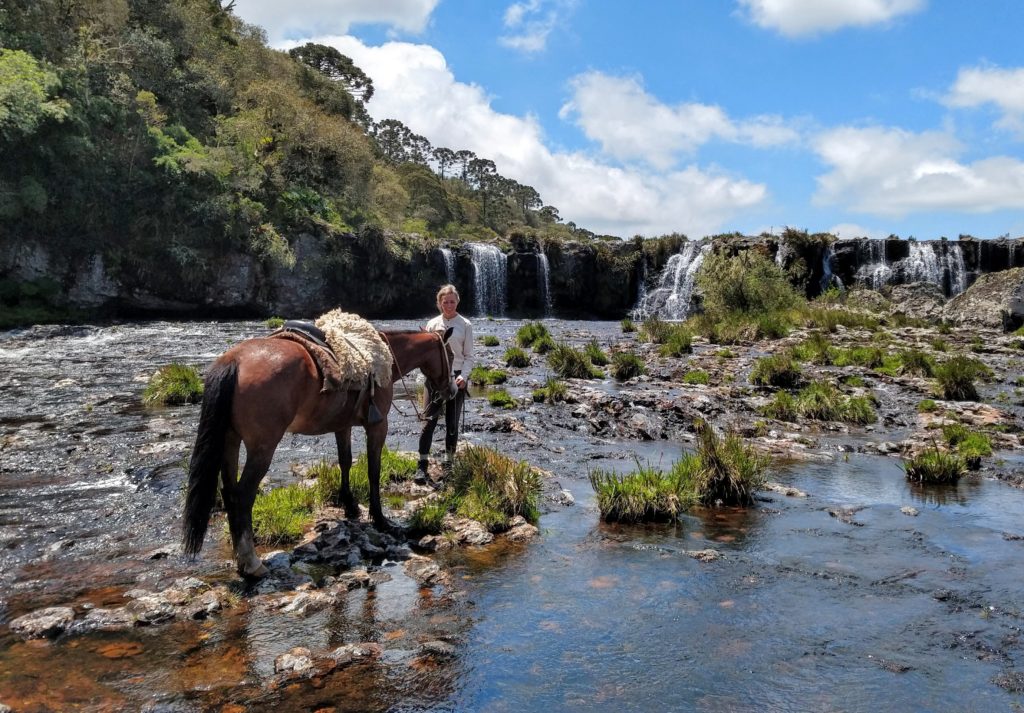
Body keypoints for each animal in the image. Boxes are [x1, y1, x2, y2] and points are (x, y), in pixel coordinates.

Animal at [182, 327, 454, 577]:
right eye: (450, 354)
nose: (452, 390)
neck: (381, 356)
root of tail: (234, 361)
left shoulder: (342, 426)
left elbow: (345, 461)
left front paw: (350, 506)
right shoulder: (378, 425)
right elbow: (373, 470)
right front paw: (380, 519)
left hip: (230, 440)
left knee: (228, 492)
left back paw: (241, 559)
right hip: (262, 448)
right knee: (242, 496)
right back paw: (252, 563)